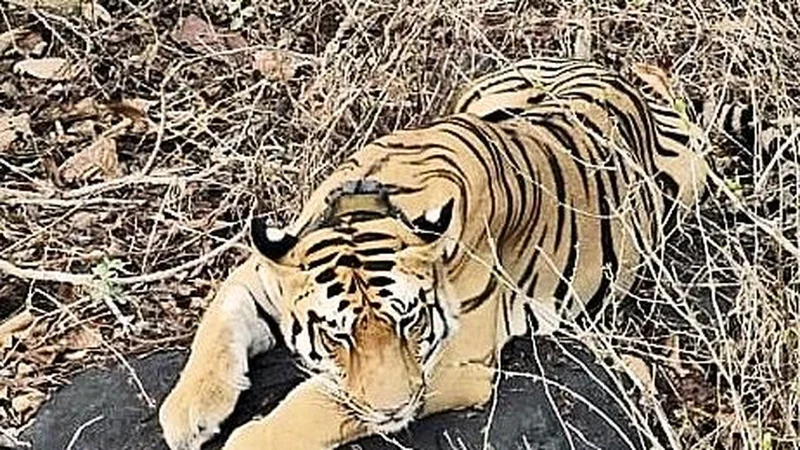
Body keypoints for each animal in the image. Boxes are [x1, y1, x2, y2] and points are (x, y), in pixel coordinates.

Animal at [158, 57, 716, 450]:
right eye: (337, 336)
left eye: (411, 324)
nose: (393, 412)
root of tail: (622, 74)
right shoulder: (262, 272)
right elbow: (216, 325)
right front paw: (187, 412)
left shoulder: (451, 365)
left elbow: (320, 404)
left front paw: (248, 439)